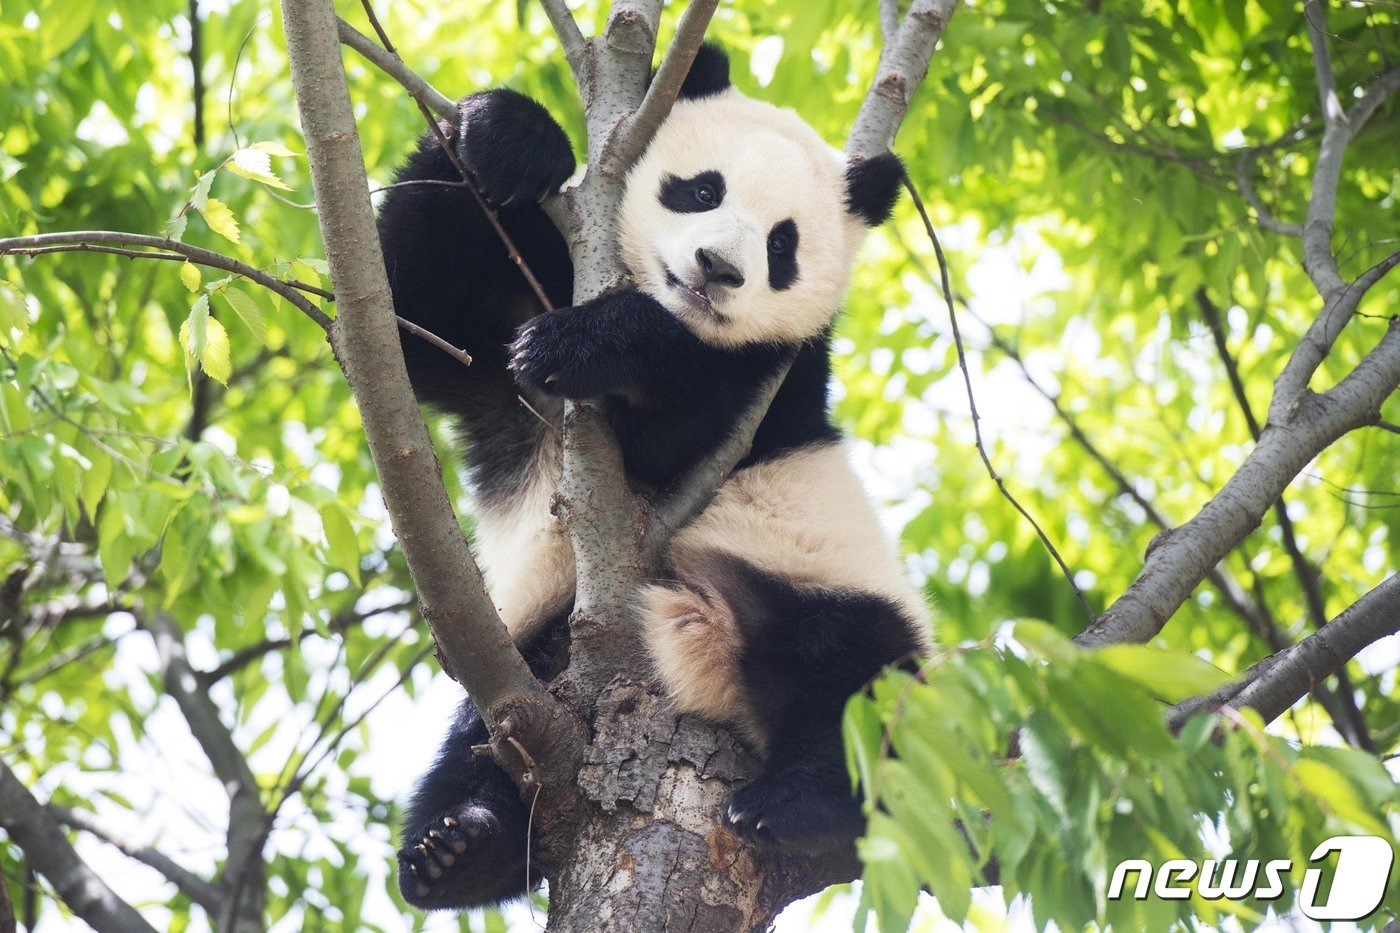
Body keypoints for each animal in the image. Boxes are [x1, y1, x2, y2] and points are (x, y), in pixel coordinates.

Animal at [378, 45, 935, 907]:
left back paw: (792, 805)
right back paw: (457, 846)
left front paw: (585, 343)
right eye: (702, 189)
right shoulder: (508, 311)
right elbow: (411, 302)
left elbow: (684, 416)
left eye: (783, 246)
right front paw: (510, 137)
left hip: (826, 590)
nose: (718, 268)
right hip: (532, 667)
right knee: (482, 745)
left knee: (857, 683)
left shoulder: (777, 385)